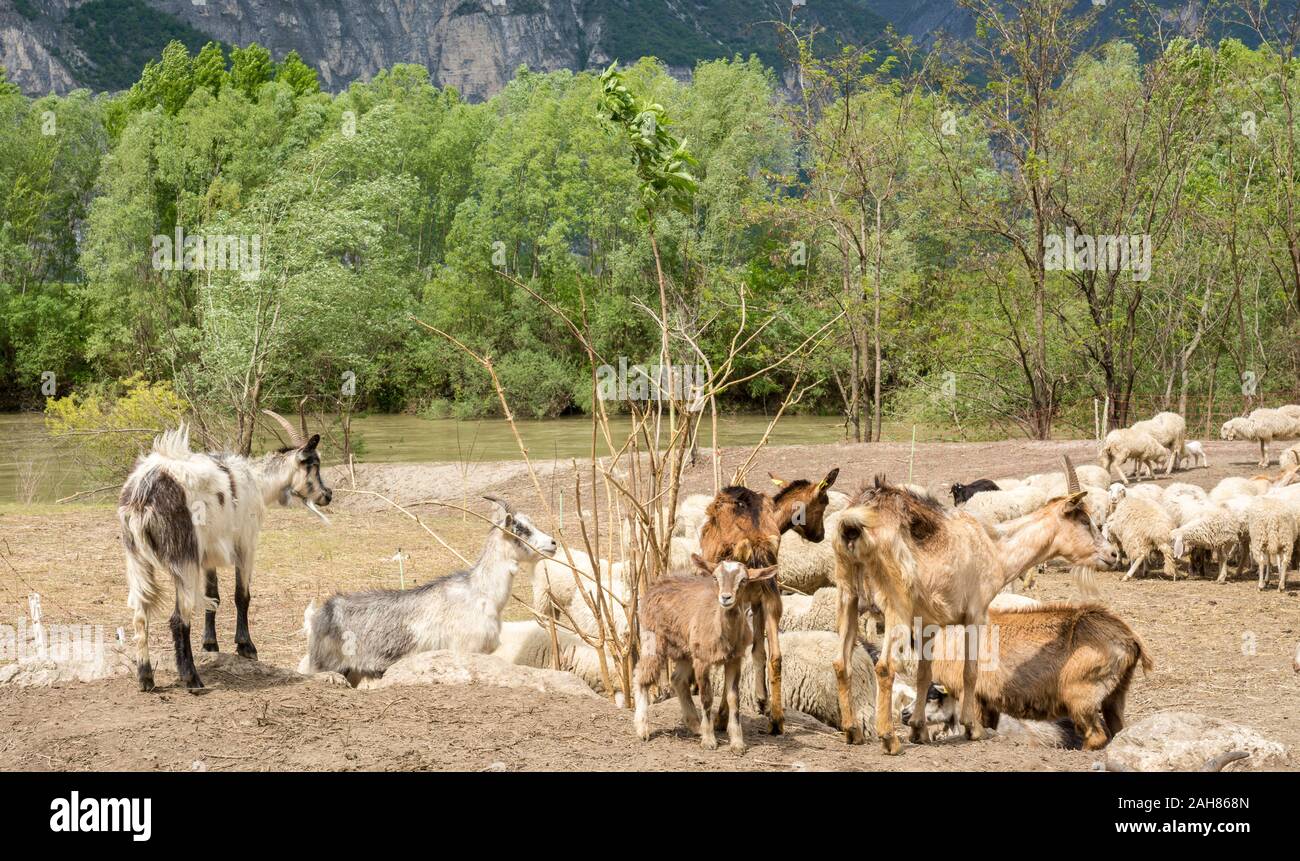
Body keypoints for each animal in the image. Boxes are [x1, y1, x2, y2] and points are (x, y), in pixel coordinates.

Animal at [119, 416, 333, 691]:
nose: (327, 495)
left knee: (140, 614)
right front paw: (246, 646)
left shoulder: (208, 555)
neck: (256, 481)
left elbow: (213, 596)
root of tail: (142, 494)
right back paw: (191, 678)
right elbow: (242, 595)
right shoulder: (246, 543)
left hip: (136, 557)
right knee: (179, 617)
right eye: (314, 464)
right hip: (183, 557)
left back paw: (146, 678)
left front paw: (210, 644)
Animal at [300, 497, 556, 686]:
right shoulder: (466, 648)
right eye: (521, 529)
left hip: (352, 671)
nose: (553, 543)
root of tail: (319, 614)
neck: (481, 593)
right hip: (327, 665)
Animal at [632, 552, 777, 753]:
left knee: (677, 679)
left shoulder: (734, 659)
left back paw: (695, 725)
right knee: (642, 676)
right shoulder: (702, 660)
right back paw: (642, 729)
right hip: (653, 638)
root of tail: (657, 583)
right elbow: (707, 698)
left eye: (743, 580)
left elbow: (734, 699)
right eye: (715, 578)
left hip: (685, 648)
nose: (726, 598)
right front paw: (709, 740)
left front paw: (737, 743)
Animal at [901, 603, 1153, 750]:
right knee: (1117, 729)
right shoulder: (988, 700)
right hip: (1116, 694)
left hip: (1081, 696)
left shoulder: (969, 695)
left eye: (933, 696)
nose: (904, 715)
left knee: (1097, 736)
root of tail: (1130, 638)